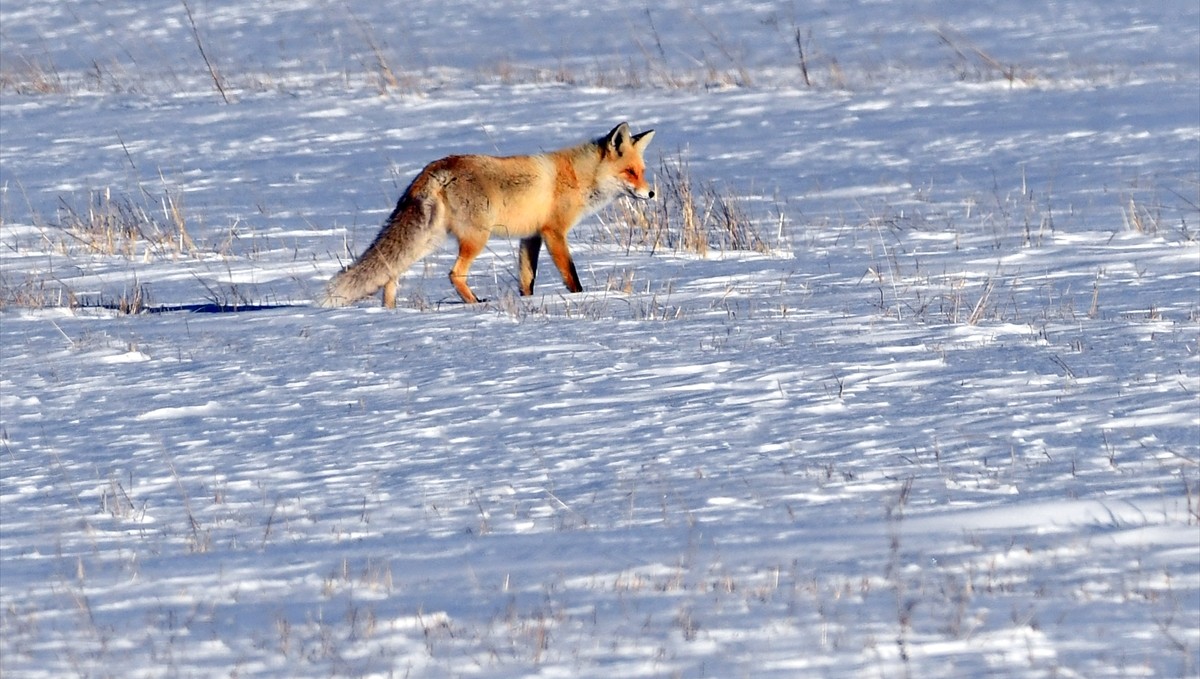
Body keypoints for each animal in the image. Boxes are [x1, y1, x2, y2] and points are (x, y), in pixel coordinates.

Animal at [319, 122, 657, 309]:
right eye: (630, 172)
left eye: (642, 172)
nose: (651, 194)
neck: (578, 177)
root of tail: (434, 169)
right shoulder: (554, 232)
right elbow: (571, 276)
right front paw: (580, 298)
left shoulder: (530, 237)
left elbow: (527, 279)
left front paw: (526, 302)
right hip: (475, 238)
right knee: (454, 274)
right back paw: (473, 303)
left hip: (428, 240)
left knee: (391, 273)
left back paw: (389, 312)